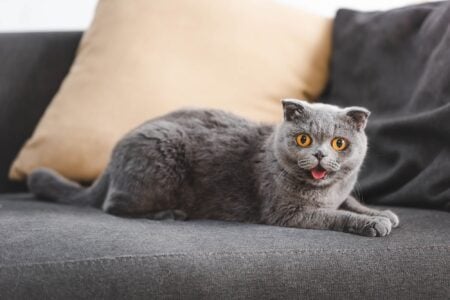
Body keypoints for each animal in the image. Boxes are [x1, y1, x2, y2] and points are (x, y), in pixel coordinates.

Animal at [28, 99, 400, 238]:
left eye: (339, 143)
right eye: (304, 139)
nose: (321, 156)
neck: (325, 190)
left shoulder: (340, 192)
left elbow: (349, 202)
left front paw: (382, 212)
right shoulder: (287, 212)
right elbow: (335, 215)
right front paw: (374, 223)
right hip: (160, 165)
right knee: (114, 206)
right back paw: (169, 214)